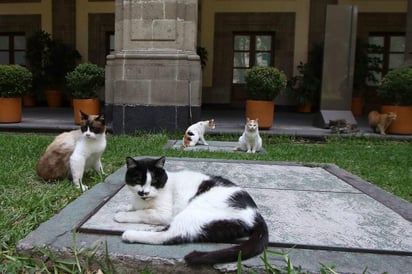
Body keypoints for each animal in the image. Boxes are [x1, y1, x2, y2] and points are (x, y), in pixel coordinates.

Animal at [112, 156, 268, 266]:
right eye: (138, 180)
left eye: (155, 182)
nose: (144, 192)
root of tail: (256, 214)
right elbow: (135, 207)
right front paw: (124, 207)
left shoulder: (164, 213)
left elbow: (143, 213)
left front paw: (122, 215)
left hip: (192, 212)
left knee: (169, 235)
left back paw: (130, 234)